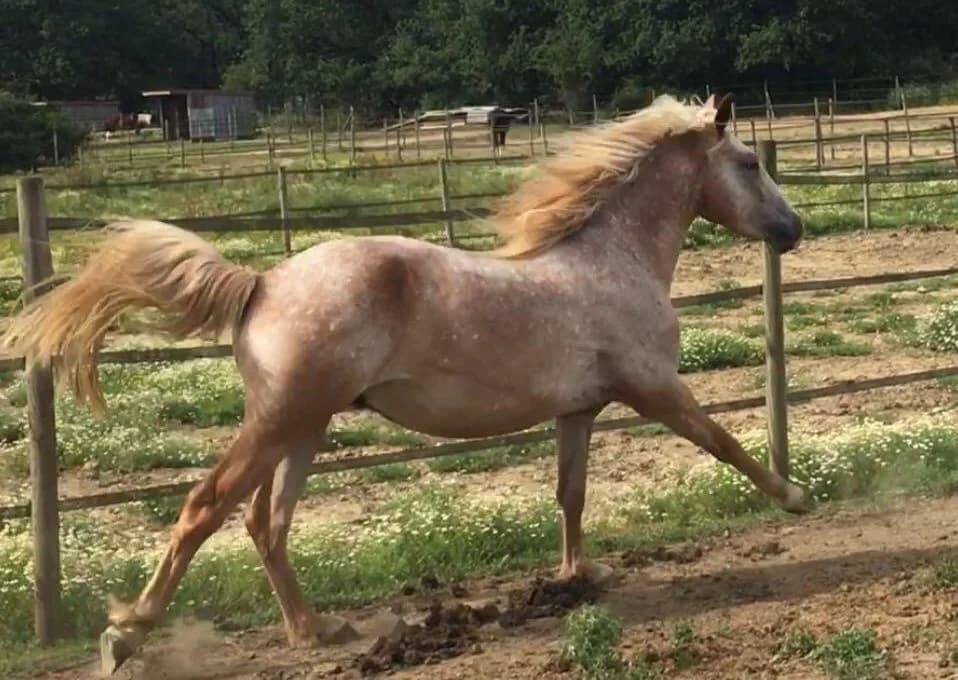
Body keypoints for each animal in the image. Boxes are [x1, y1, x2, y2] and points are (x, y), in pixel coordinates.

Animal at [3, 93, 811, 673]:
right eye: (748, 161)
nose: (793, 229)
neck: (613, 259)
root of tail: (259, 283)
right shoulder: (655, 388)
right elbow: (724, 442)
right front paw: (798, 496)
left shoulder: (578, 410)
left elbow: (570, 493)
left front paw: (575, 575)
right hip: (283, 419)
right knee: (206, 507)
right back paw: (128, 635)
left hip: (305, 425)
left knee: (267, 522)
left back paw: (316, 630)